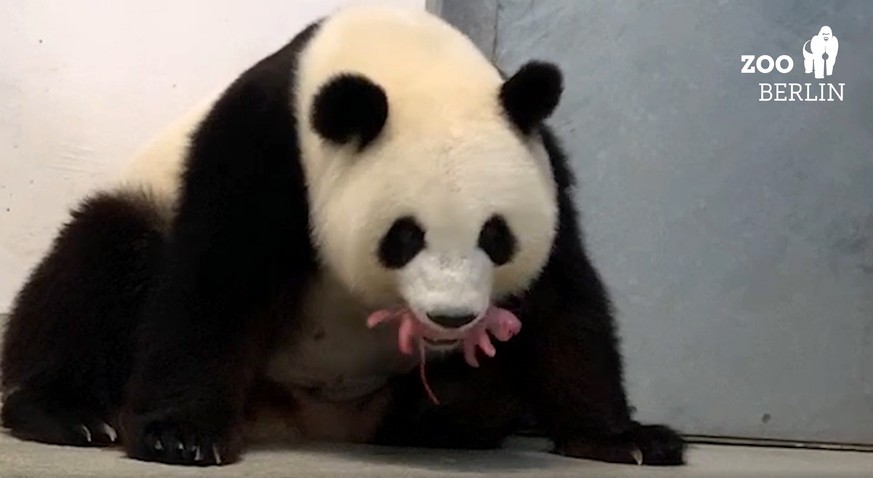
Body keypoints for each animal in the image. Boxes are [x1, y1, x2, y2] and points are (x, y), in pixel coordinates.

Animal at [0, 2, 680, 466]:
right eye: (404, 237)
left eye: (496, 236)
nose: (453, 318)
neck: (399, 57)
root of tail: (310, 422)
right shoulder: (270, 143)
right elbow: (218, 277)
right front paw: (180, 435)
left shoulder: (544, 165)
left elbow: (564, 302)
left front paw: (626, 439)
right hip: (140, 209)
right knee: (98, 268)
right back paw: (70, 415)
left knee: (483, 397)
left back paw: (434, 424)